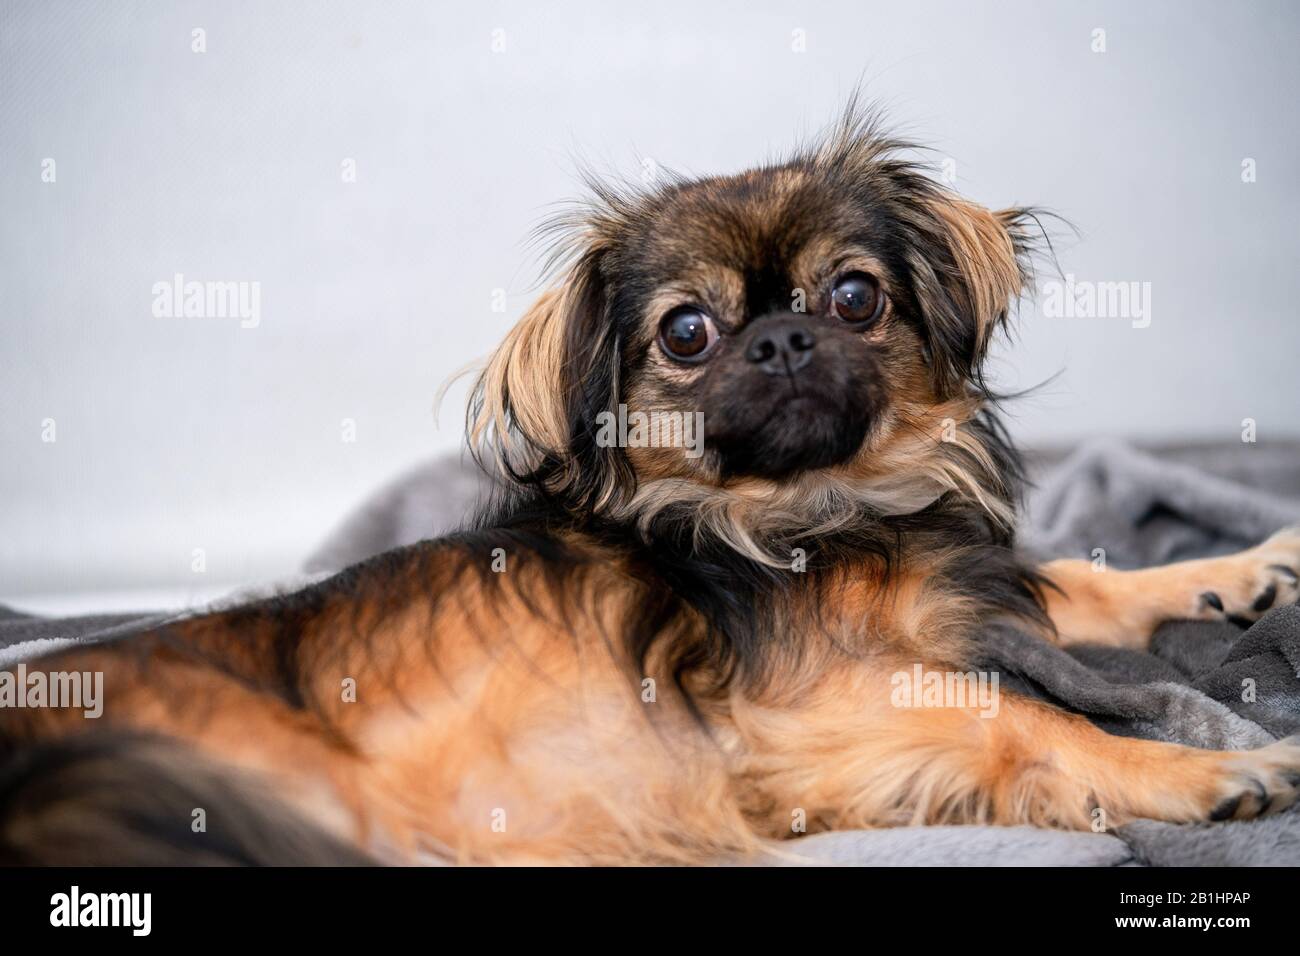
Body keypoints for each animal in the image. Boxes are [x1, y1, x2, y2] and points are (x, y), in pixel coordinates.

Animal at [2, 104, 1300, 868]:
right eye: (686, 330)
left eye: (854, 296)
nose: (780, 339)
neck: (807, 511)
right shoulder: (810, 710)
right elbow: (1026, 711)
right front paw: (1207, 769)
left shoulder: (958, 596)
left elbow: (1083, 576)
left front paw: (1245, 569)